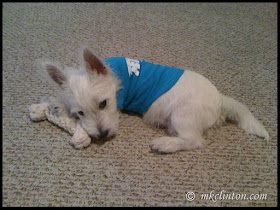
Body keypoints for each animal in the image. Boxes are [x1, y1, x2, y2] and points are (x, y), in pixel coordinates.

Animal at [41, 47, 270, 153]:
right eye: (80, 113)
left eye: (103, 104)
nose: (102, 135)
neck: (116, 78)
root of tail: (221, 100)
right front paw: (57, 104)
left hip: (181, 114)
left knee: (193, 140)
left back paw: (165, 143)